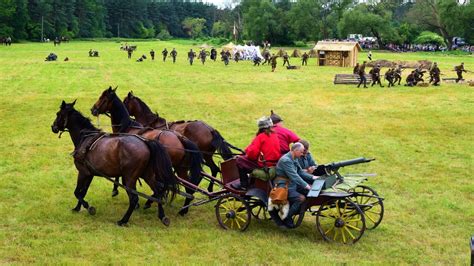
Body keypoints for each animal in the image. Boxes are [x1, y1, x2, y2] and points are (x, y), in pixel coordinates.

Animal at [91, 86, 203, 215]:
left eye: (102, 98)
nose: (93, 109)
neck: (128, 126)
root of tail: (180, 138)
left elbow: (119, 176)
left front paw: (116, 190)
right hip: (181, 168)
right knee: (189, 188)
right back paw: (182, 209)